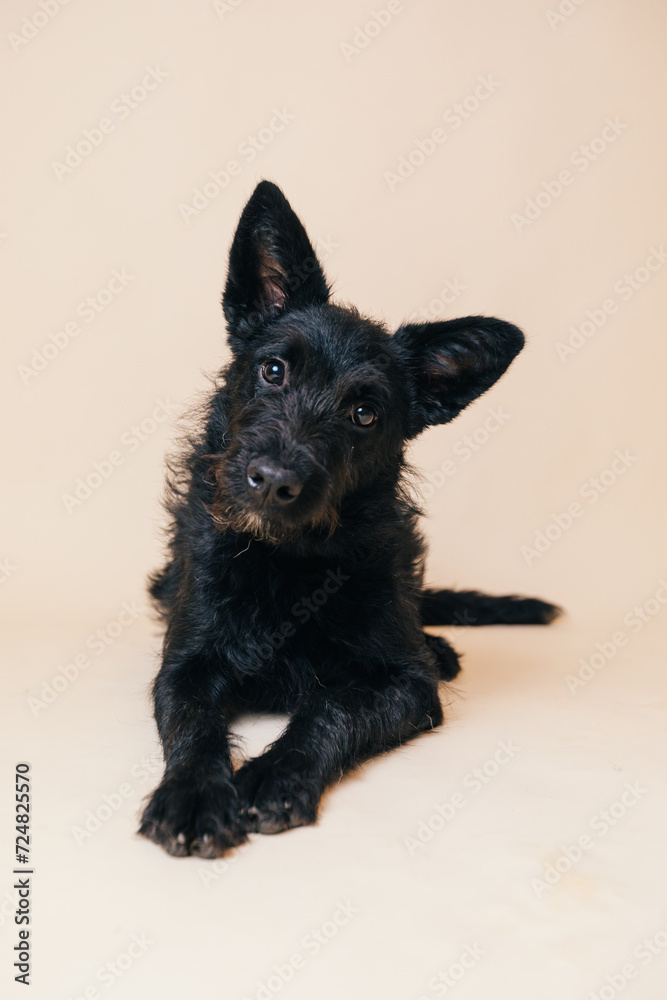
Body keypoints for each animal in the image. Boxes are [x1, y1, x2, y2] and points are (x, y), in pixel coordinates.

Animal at [140, 182, 560, 860]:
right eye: (274, 370)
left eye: (364, 413)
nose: (273, 479)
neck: (286, 562)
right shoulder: (185, 667)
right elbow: (194, 728)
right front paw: (195, 795)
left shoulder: (404, 686)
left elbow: (331, 708)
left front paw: (273, 775)